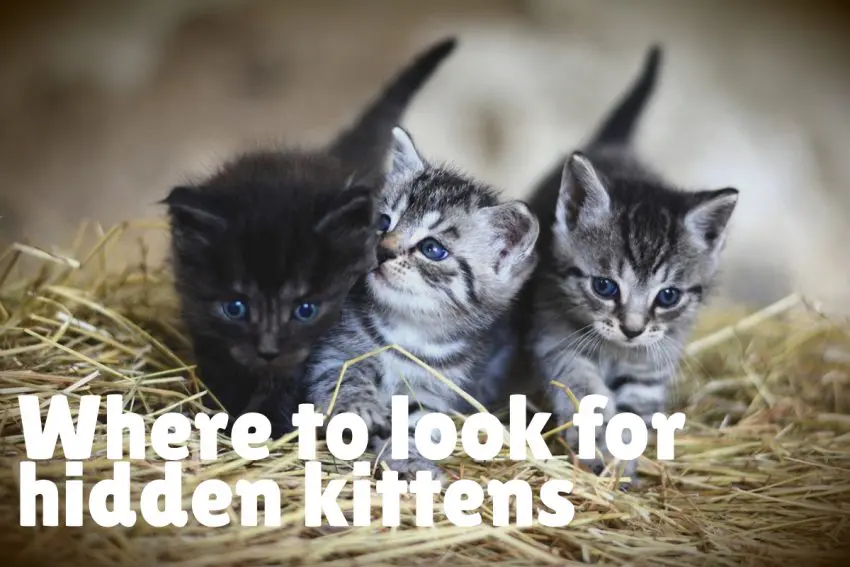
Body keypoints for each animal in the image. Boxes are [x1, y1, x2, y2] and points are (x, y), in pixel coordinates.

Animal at [304, 126, 536, 478]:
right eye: (383, 222)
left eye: (432, 249)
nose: (382, 250)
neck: (408, 329)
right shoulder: (333, 349)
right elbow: (342, 374)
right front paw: (358, 404)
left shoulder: (435, 390)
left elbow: (415, 426)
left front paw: (410, 461)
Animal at [516, 46, 736, 478]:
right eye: (604, 287)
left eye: (668, 296)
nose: (632, 330)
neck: (616, 351)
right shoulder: (554, 340)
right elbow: (586, 393)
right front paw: (597, 446)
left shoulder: (652, 365)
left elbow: (634, 413)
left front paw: (622, 459)